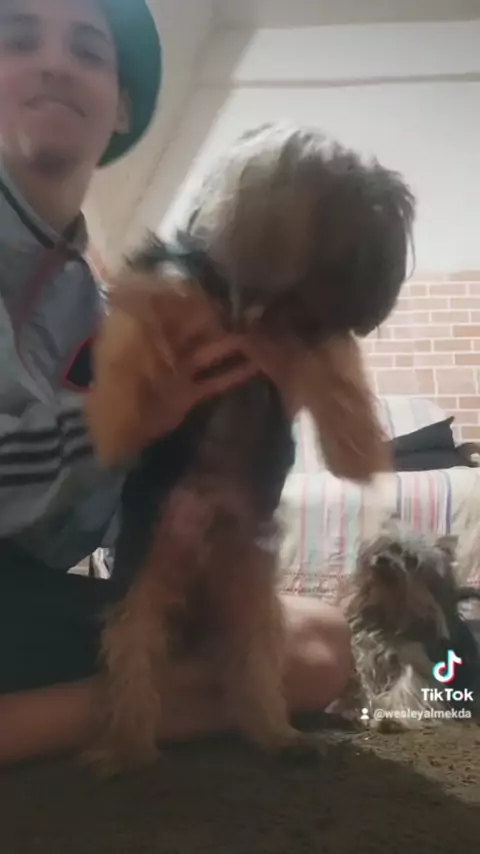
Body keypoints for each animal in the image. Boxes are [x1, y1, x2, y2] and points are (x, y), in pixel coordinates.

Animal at [331, 517, 480, 730]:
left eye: (411, 560)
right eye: (388, 547)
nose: (383, 559)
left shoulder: (416, 663)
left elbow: (408, 686)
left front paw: (390, 717)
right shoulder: (365, 656)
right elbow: (363, 682)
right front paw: (352, 709)